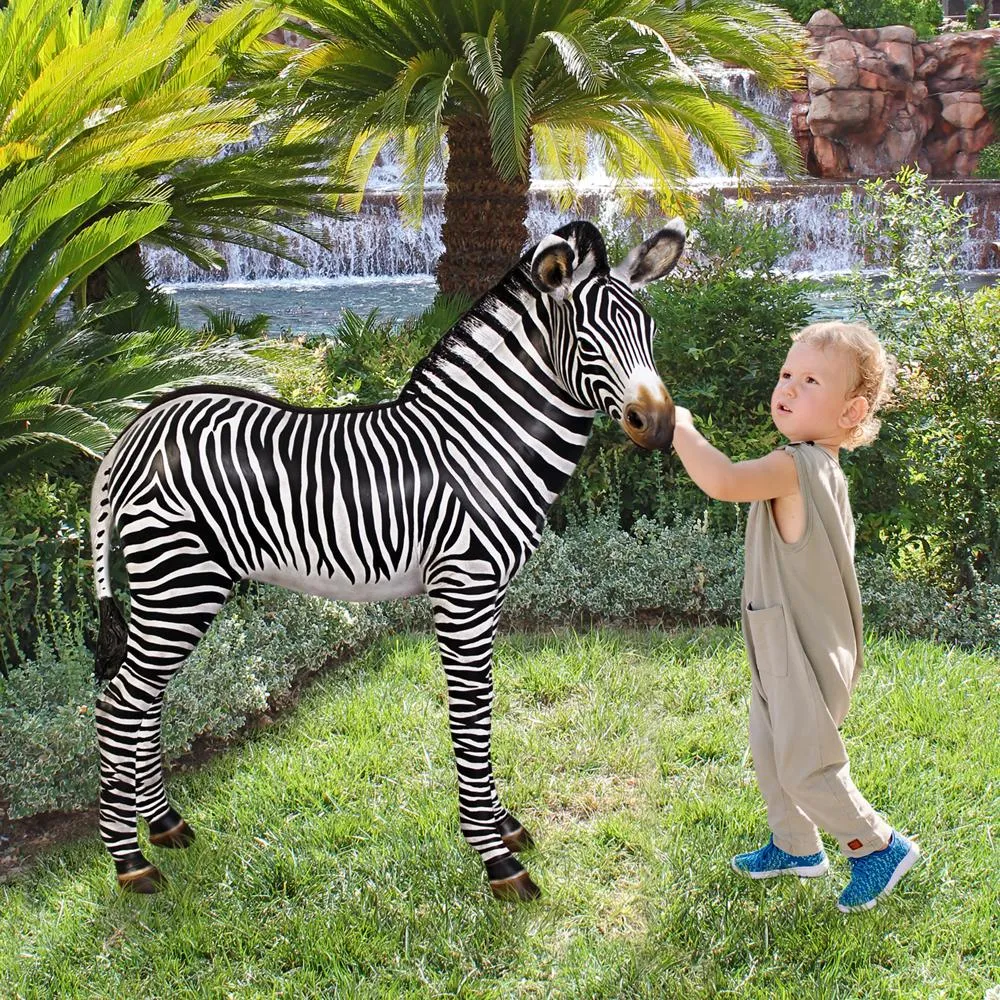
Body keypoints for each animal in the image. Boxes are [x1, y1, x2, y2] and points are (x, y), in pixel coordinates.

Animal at [90, 219, 685, 900]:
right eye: (588, 343)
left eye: (651, 331)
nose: (660, 426)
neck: (481, 446)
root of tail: (136, 428)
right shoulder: (463, 590)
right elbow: (470, 715)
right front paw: (497, 859)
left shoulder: (490, 596)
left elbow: (482, 708)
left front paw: (502, 827)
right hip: (178, 584)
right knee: (119, 706)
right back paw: (130, 862)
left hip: (179, 591)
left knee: (145, 704)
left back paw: (165, 827)